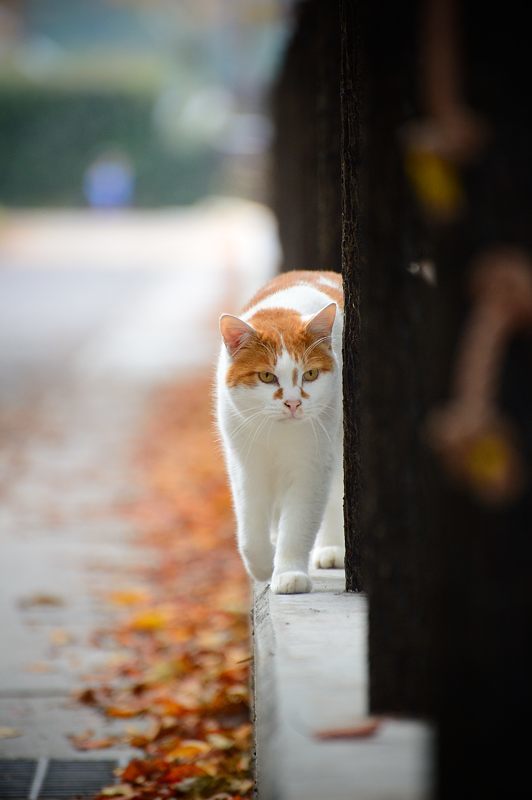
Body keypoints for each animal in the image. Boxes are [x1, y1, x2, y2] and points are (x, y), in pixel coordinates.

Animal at [216, 272, 344, 592]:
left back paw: (333, 548)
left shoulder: (312, 465)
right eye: (266, 376)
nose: (294, 403)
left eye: (310, 374)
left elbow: (298, 524)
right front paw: (263, 565)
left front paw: (288, 572)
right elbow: (249, 529)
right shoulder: (246, 465)